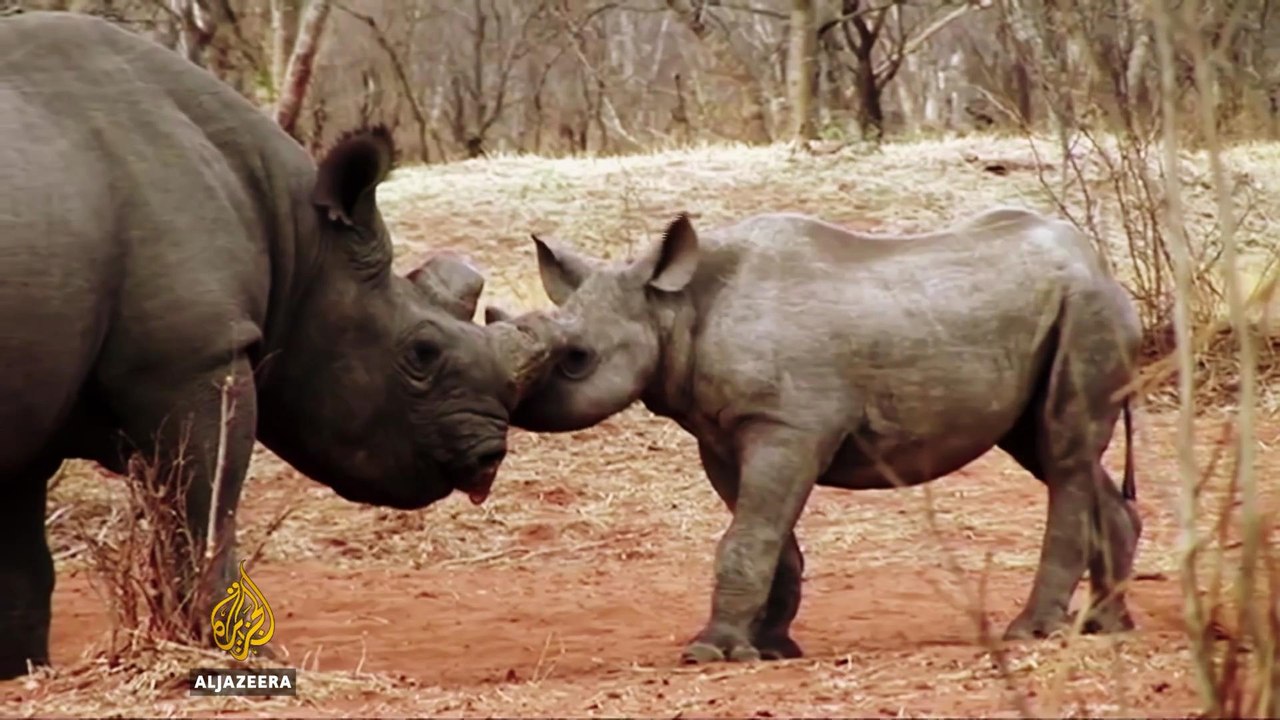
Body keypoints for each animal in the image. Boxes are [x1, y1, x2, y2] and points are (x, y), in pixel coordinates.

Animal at [0, 11, 563, 679]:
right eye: (422, 354)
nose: (489, 458)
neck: (301, 241)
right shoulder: (194, 358)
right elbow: (204, 510)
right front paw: (232, 651)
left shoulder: (33, 396)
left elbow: (23, 567)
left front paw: (21, 670)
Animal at [486, 207, 1144, 664]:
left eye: (576, 360)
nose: (506, 402)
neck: (672, 309)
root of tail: (1102, 268)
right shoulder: (724, 433)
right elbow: (771, 538)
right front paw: (769, 648)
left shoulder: (789, 426)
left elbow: (749, 535)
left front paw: (710, 652)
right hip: (1048, 315)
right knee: (1051, 448)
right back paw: (1104, 625)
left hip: (1087, 310)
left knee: (1063, 450)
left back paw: (1033, 632)